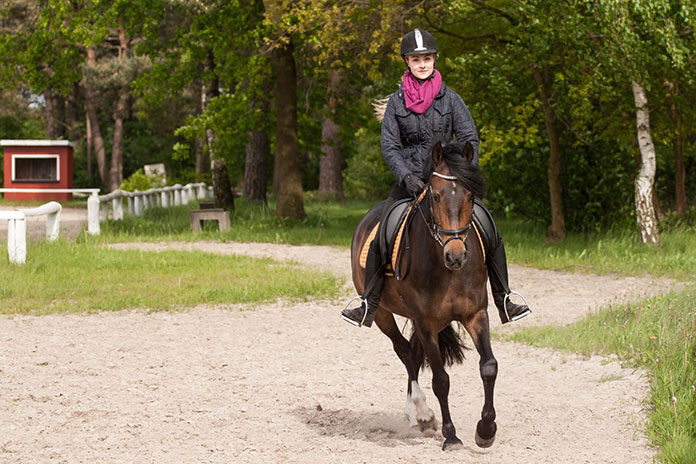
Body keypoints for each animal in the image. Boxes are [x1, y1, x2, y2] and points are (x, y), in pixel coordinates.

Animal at [350, 140, 498, 452]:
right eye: (436, 196)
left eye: (470, 196)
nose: (456, 256)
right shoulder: (426, 321)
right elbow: (441, 380)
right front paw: (451, 436)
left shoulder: (475, 315)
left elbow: (489, 366)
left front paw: (486, 430)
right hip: (383, 314)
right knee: (405, 352)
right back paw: (420, 411)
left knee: (414, 354)